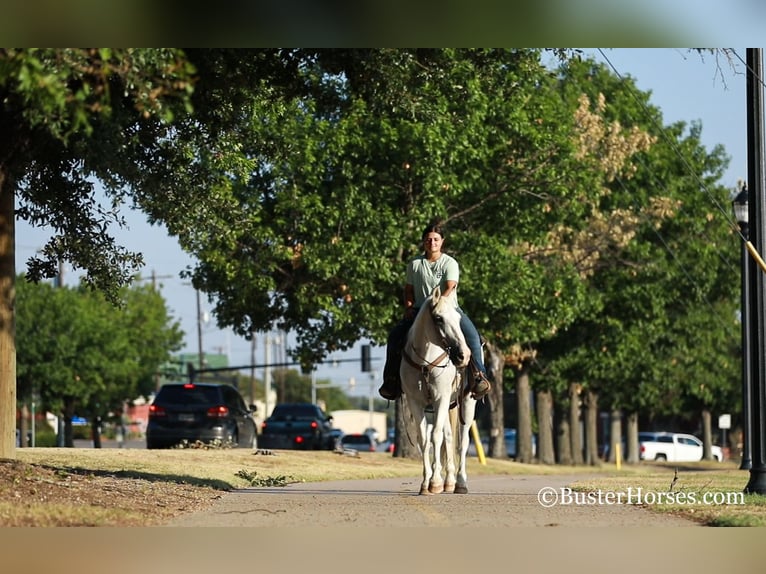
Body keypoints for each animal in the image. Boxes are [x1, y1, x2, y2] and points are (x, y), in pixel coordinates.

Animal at [402, 286, 480, 498]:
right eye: (438, 318)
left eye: (458, 318)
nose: (464, 355)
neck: (425, 362)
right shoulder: (416, 401)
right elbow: (424, 439)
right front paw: (425, 484)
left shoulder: (441, 398)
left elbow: (436, 436)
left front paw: (435, 482)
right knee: (449, 437)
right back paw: (450, 481)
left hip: (467, 402)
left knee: (462, 441)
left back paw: (460, 483)